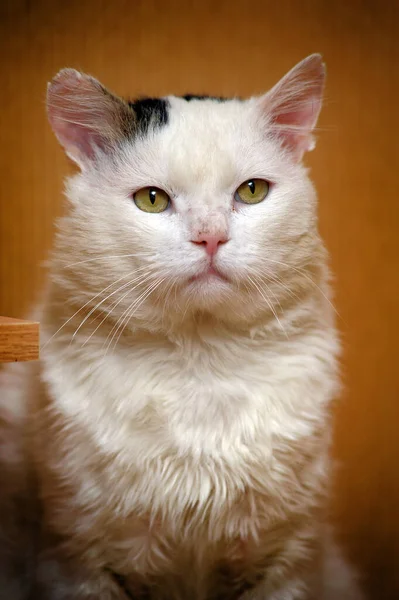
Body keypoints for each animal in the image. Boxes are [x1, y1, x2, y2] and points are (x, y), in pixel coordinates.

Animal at [0, 54, 364, 596]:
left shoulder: (288, 556)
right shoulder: (74, 554)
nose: (210, 237)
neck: (200, 359)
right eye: (152, 199)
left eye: (252, 191)